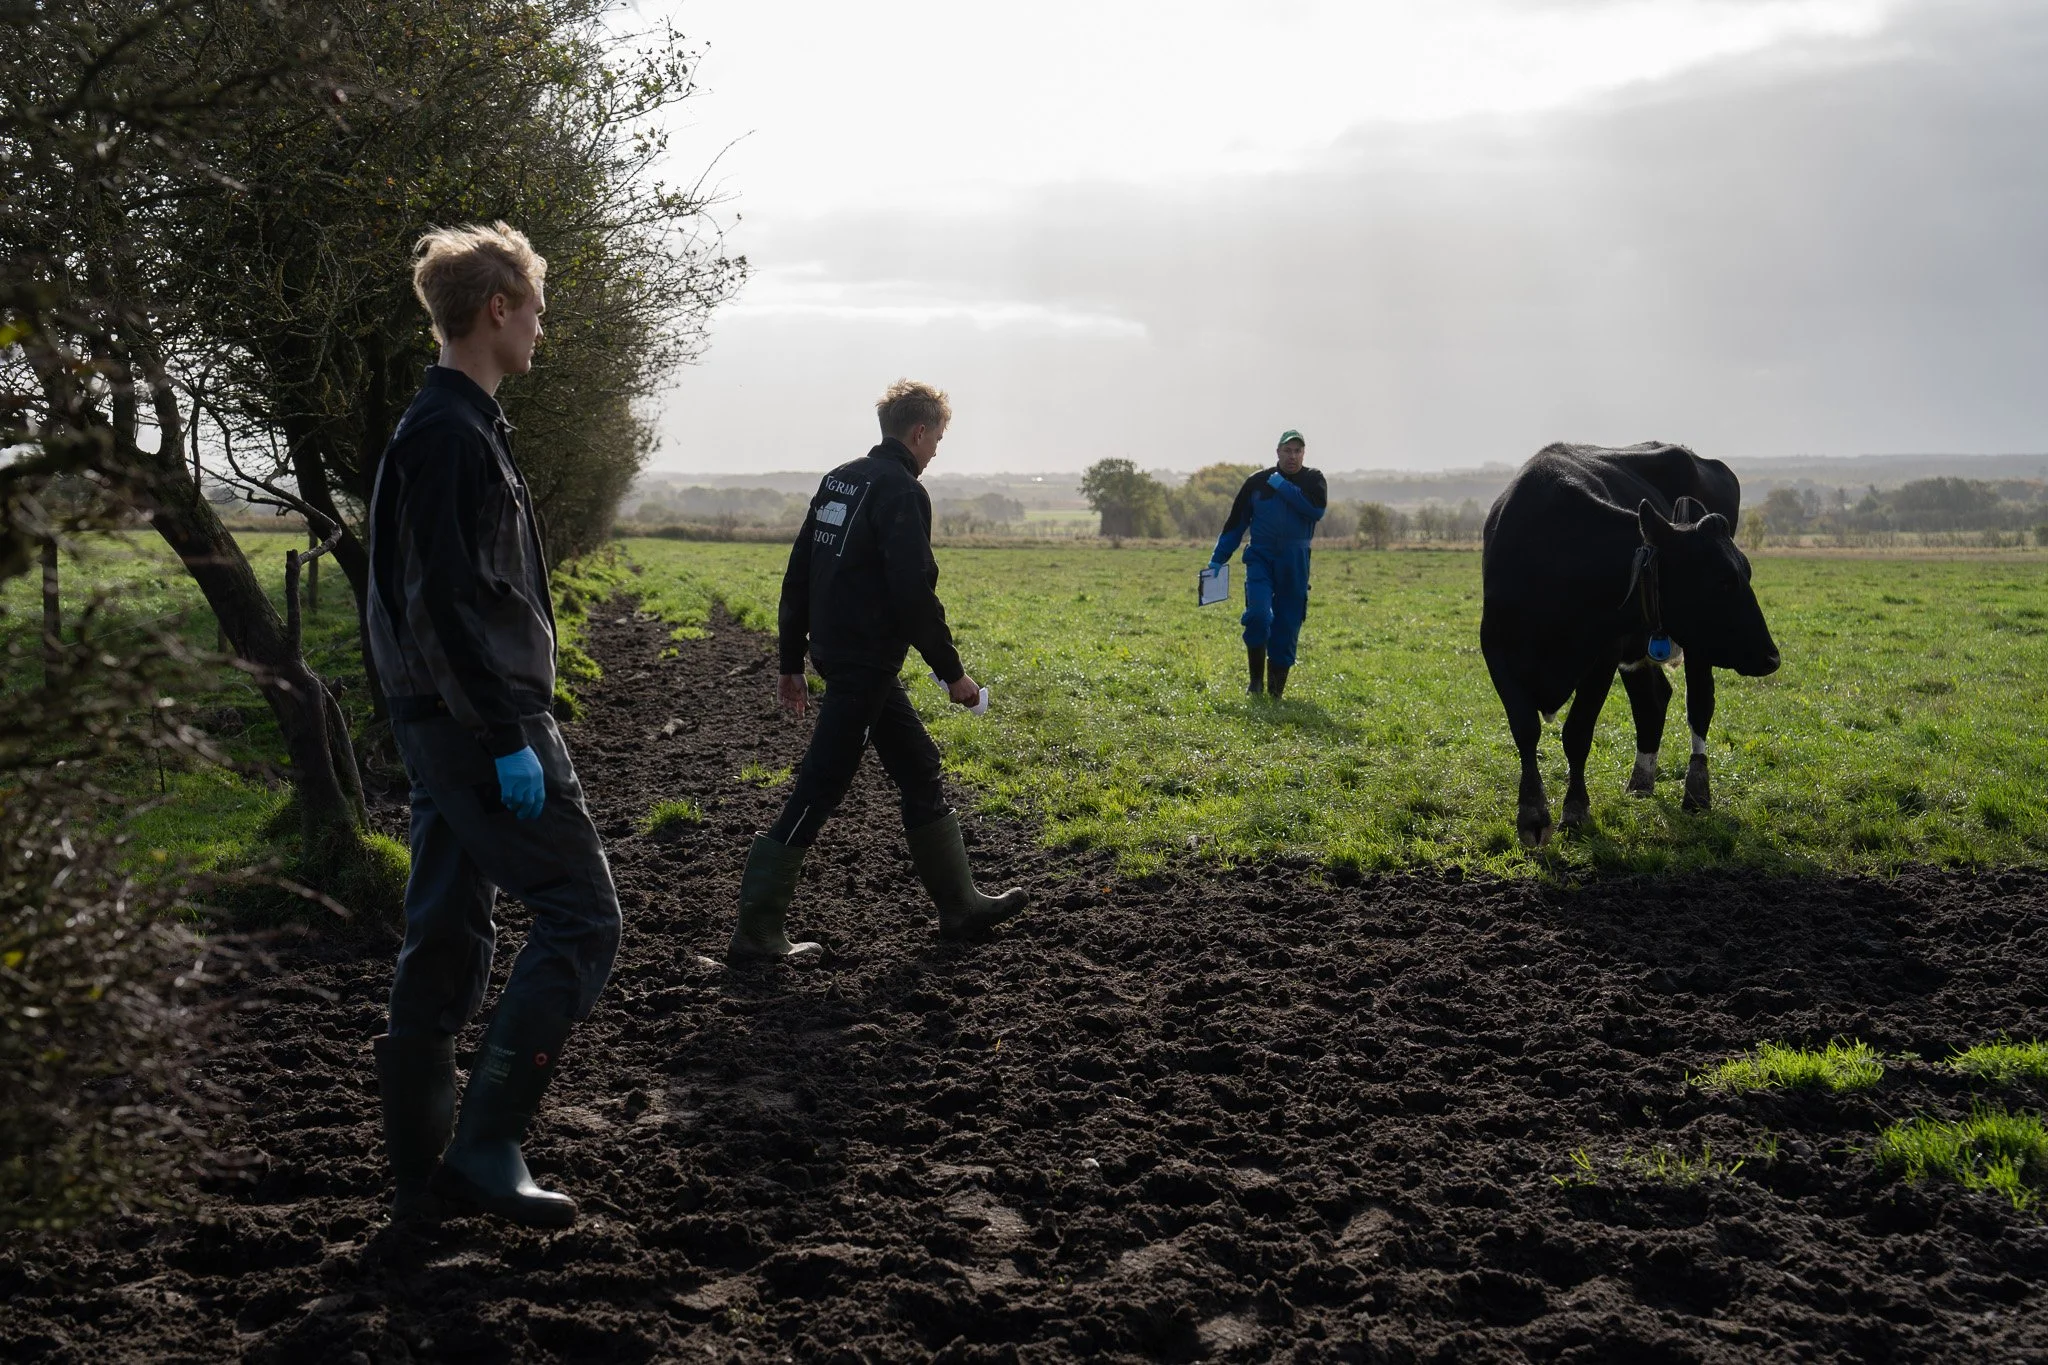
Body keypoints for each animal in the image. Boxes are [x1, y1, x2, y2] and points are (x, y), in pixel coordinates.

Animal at [1480, 442, 1780, 848]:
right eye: (1723, 580)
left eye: (1745, 573)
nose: (1772, 657)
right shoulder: (1497, 651)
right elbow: (1525, 729)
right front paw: (1532, 815)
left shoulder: (1603, 655)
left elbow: (1577, 733)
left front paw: (1575, 812)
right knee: (1653, 700)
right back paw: (1641, 781)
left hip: (1697, 646)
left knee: (1700, 705)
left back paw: (1696, 792)